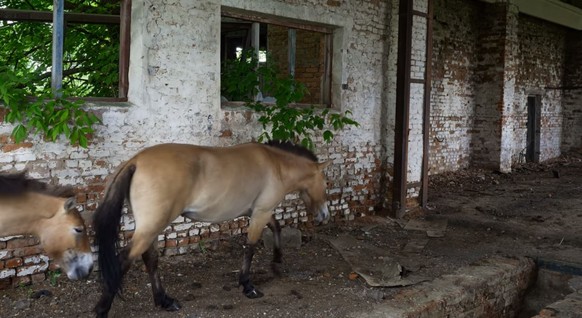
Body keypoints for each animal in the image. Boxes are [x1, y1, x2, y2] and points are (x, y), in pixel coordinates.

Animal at [93, 142, 330, 318]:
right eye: (326, 183)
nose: (325, 215)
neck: (276, 165)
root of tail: (136, 161)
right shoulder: (261, 212)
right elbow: (251, 247)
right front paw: (248, 286)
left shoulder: (258, 211)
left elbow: (276, 227)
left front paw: (277, 260)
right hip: (151, 228)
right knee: (123, 261)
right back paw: (102, 309)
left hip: (150, 228)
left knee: (150, 260)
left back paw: (165, 301)